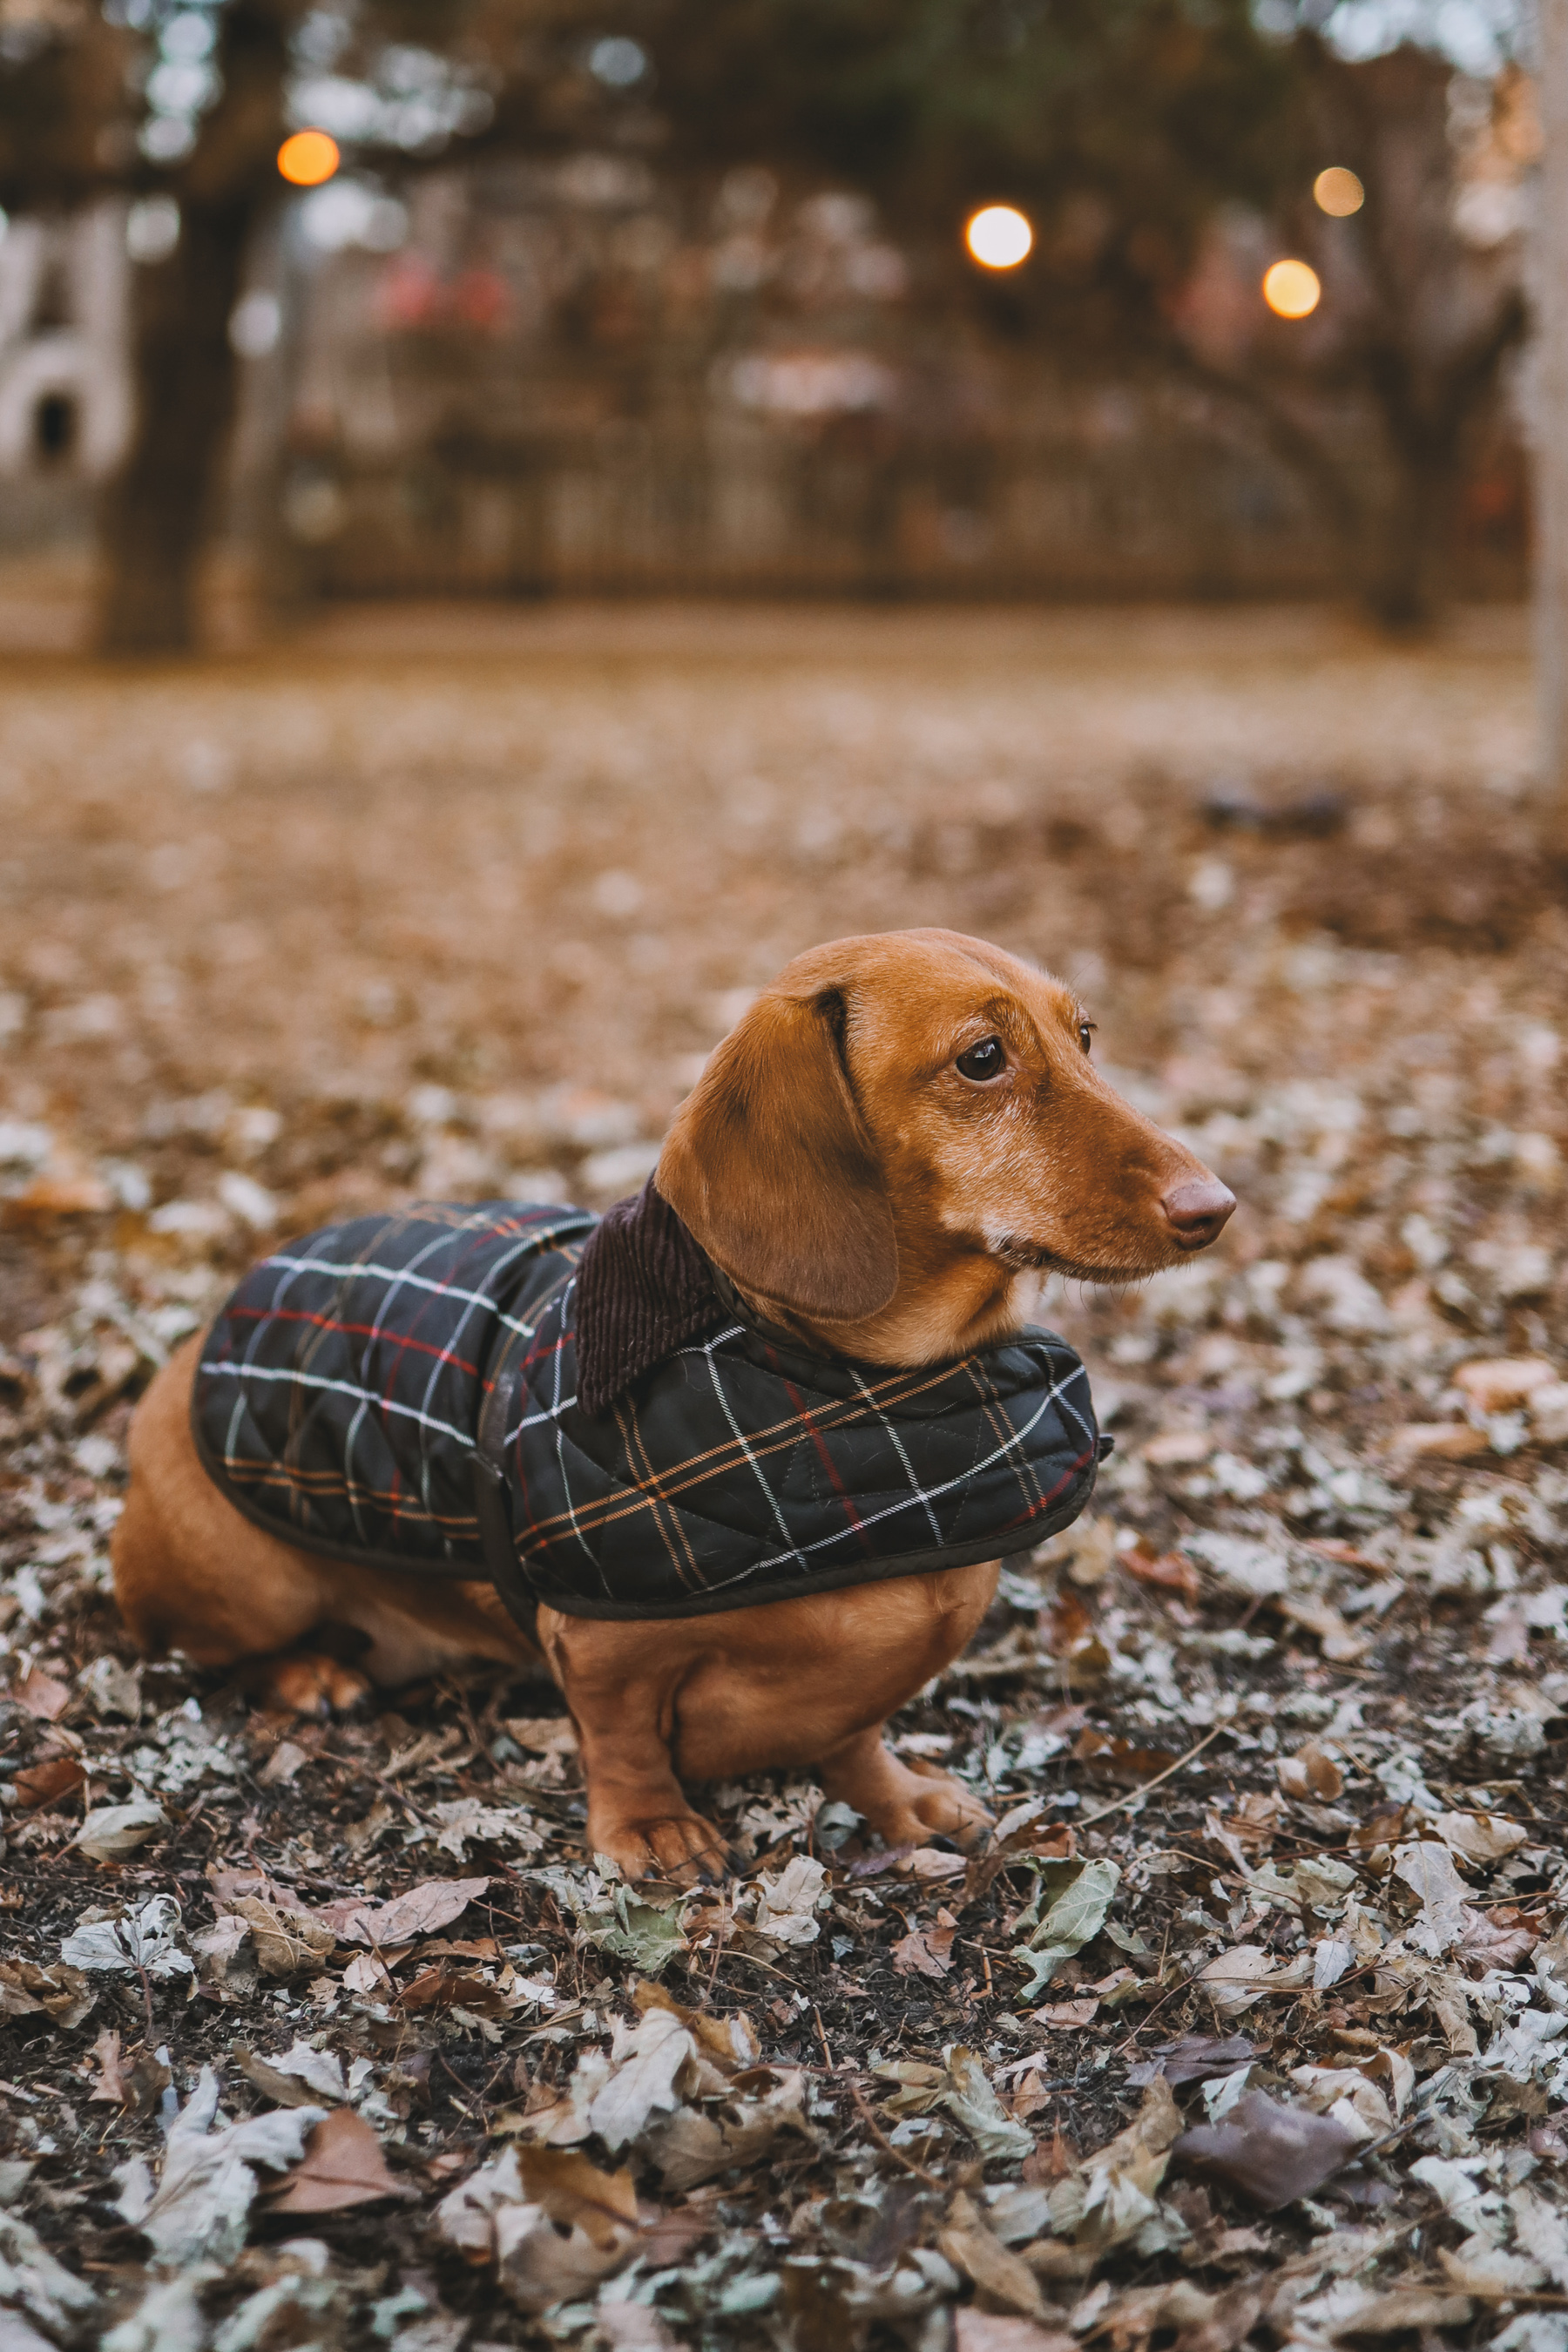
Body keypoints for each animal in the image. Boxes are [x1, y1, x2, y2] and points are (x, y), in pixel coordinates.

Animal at [113, 926, 1240, 1882]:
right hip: (249, 1582)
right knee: (203, 1648)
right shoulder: (602, 1651)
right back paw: (309, 1675)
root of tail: (187, 1352)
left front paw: (897, 1800)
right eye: (982, 1058)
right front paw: (652, 1829)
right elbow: (620, 1739)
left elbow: (855, 1737)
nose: (1216, 1208)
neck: (862, 1398)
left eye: (1083, 1034)